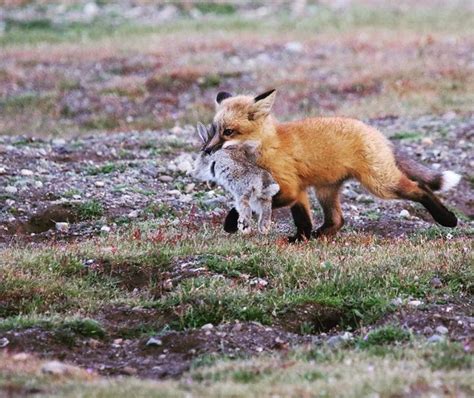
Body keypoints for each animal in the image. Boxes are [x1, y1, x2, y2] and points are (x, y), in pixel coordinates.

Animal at [203, 90, 460, 241]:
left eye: (228, 132)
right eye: (215, 130)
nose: (206, 151)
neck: (268, 146)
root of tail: (375, 132)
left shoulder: (289, 188)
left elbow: (251, 205)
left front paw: (232, 222)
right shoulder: (299, 190)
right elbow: (303, 220)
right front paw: (301, 239)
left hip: (380, 185)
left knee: (420, 188)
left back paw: (448, 219)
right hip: (325, 190)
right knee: (337, 220)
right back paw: (319, 235)